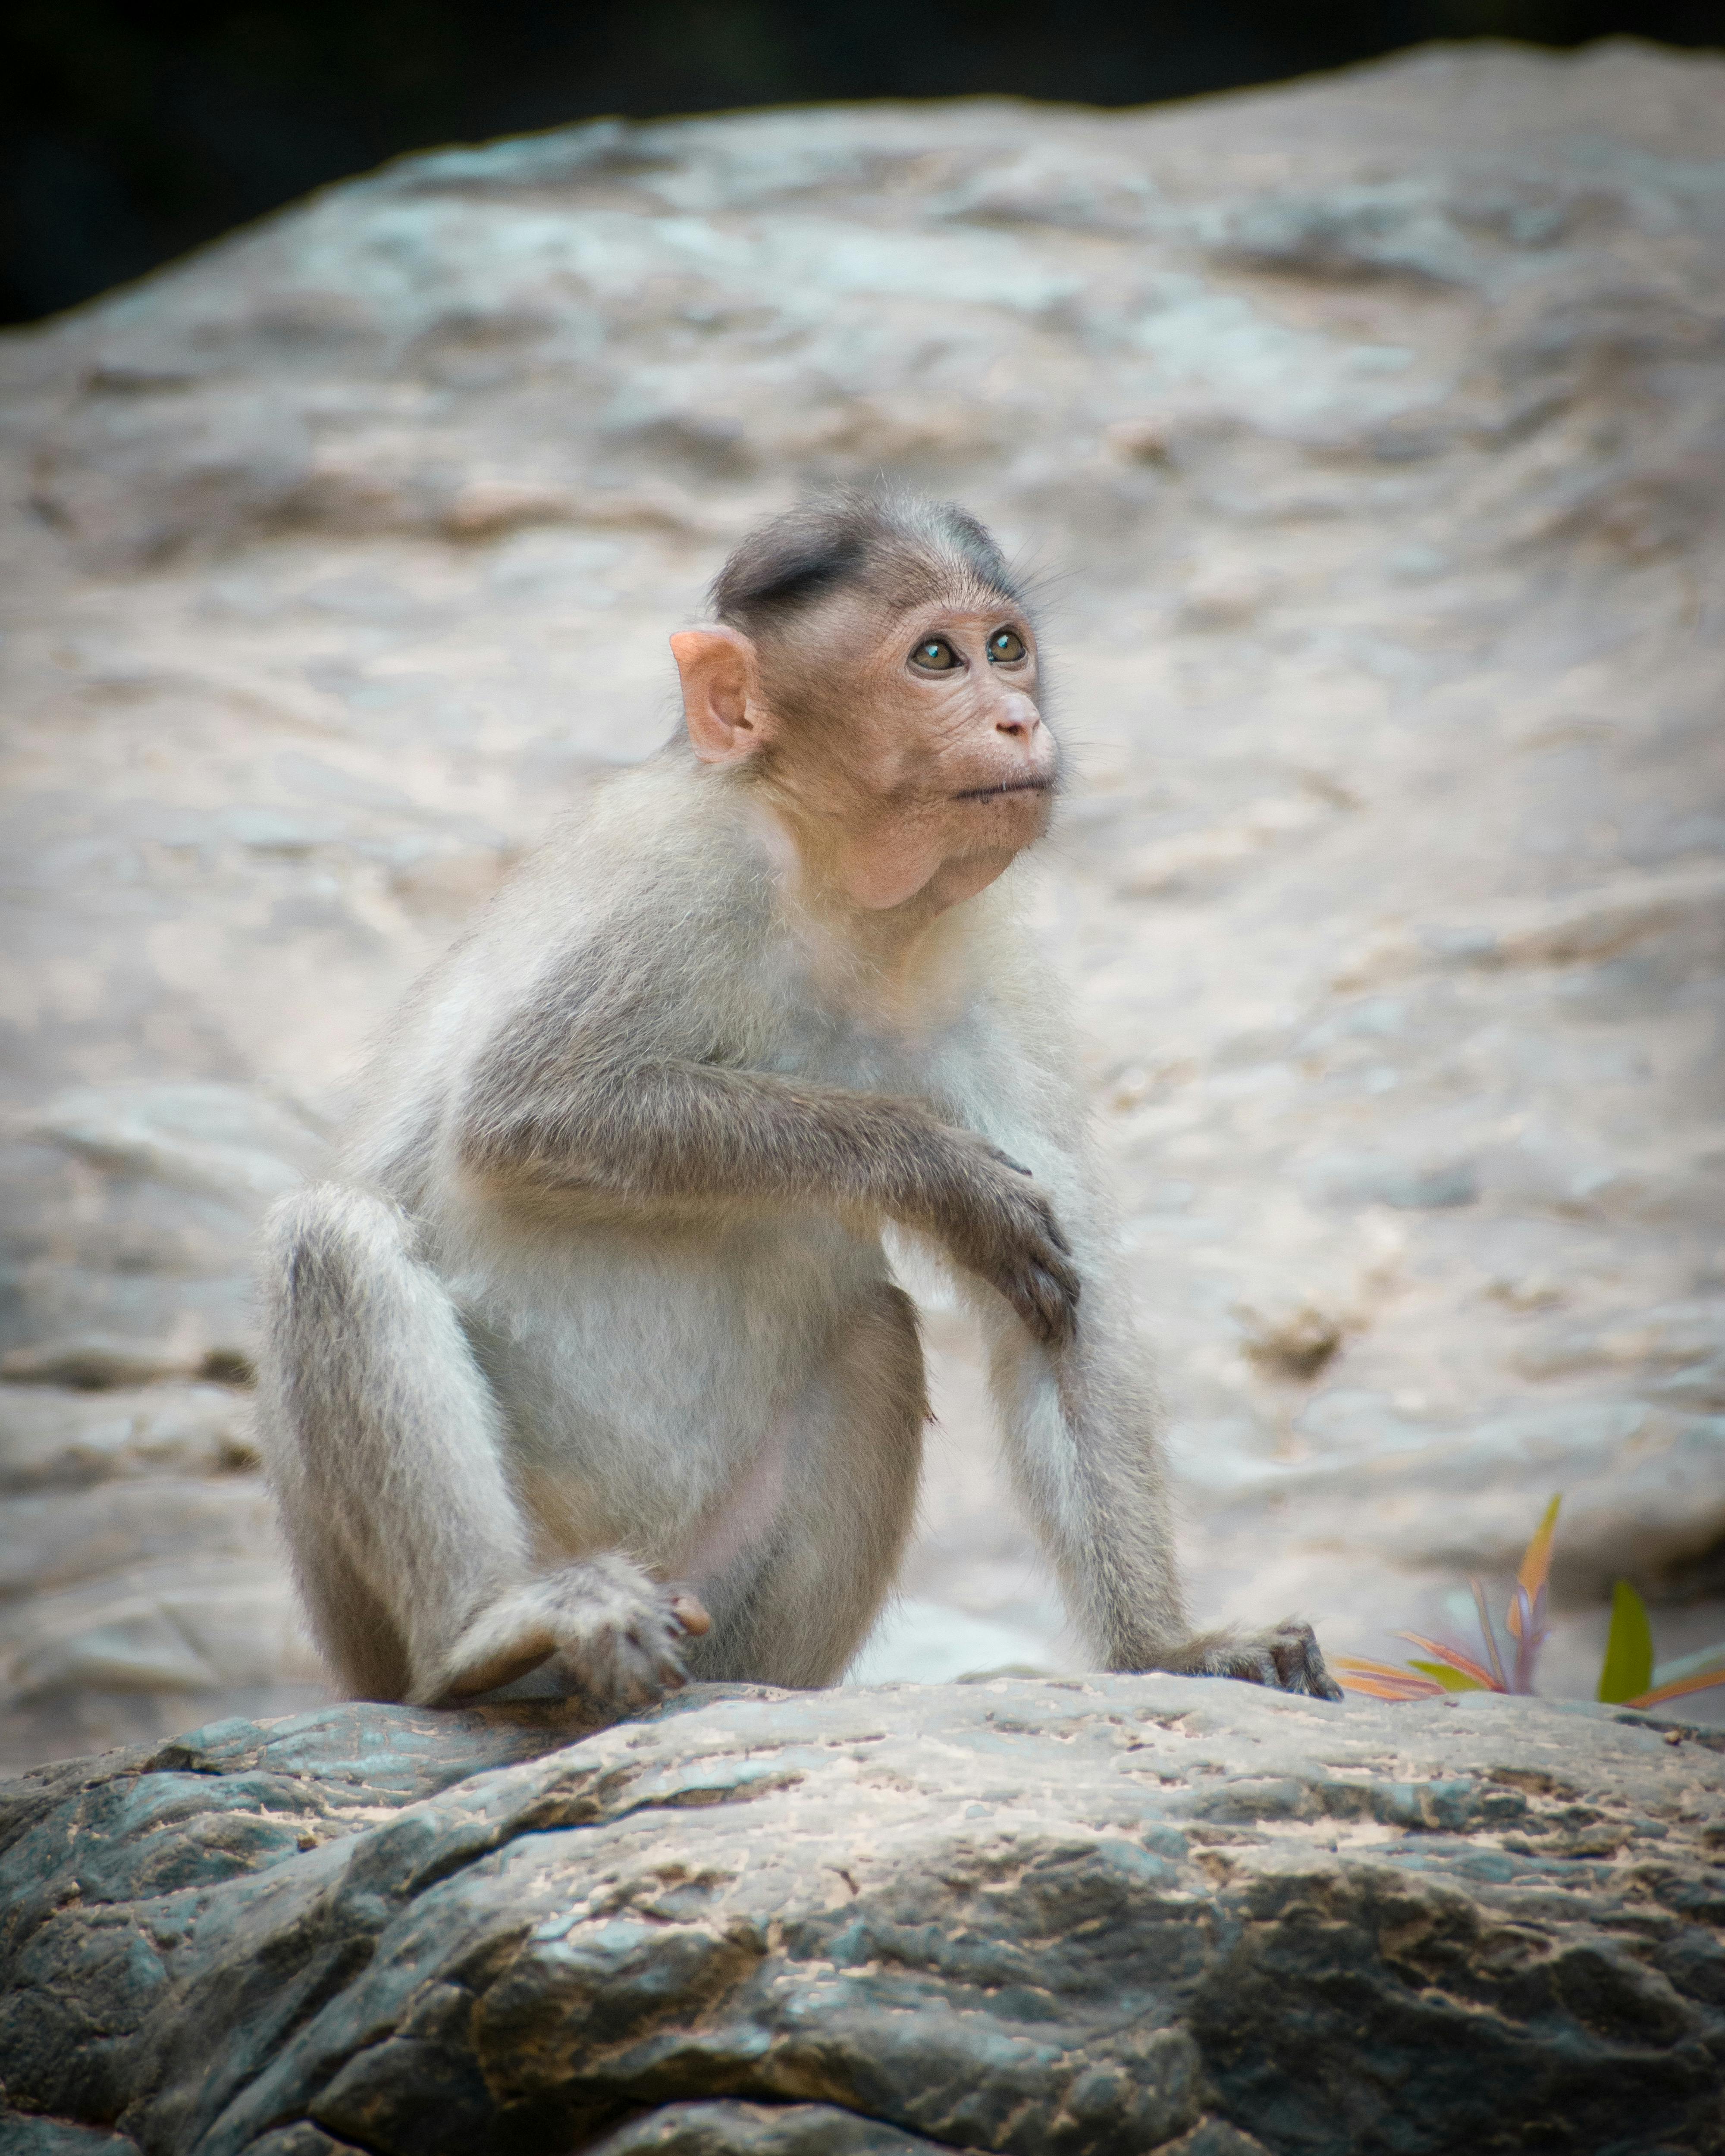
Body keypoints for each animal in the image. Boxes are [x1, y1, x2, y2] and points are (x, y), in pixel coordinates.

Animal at [252, 494, 1346, 1716]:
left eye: (1005, 647)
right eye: (935, 659)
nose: (1017, 718)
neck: (838, 892)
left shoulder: (981, 961)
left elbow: (1064, 1311)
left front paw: (1171, 1645)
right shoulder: (684, 873)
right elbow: (526, 1110)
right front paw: (933, 1171)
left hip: (706, 1588)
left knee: (876, 1338)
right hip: (373, 1629)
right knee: (330, 1238)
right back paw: (492, 1635)